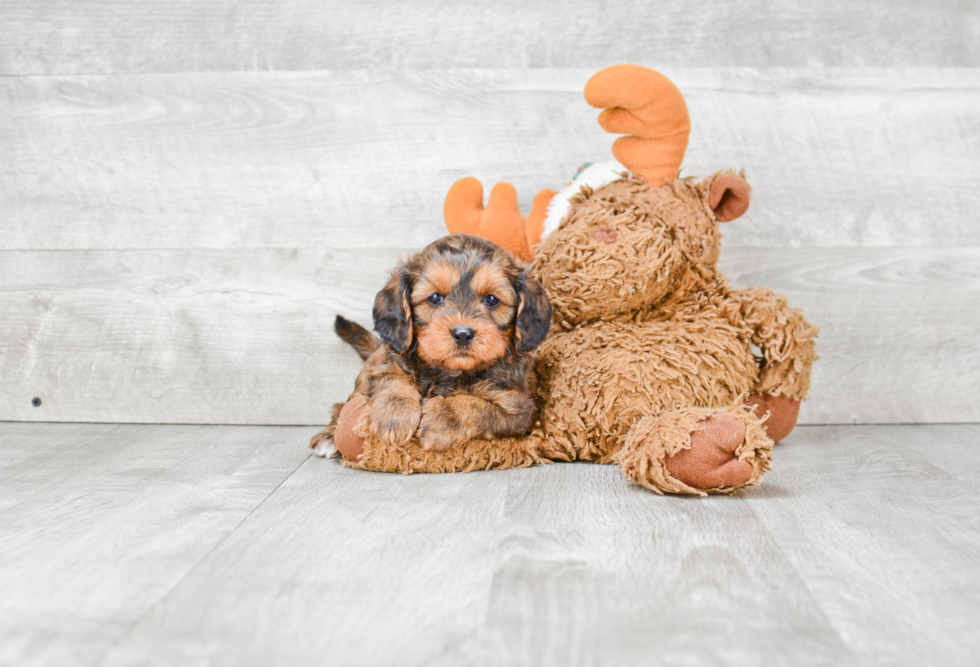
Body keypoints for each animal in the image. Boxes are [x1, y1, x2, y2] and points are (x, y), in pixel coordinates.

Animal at [312, 232, 552, 452]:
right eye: (435, 298)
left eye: (491, 299)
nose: (462, 333)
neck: (450, 372)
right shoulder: (384, 361)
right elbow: (392, 378)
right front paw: (393, 416)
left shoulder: (518, 407)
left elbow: (479, 407)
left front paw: (442, 420)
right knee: (344, 404)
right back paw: (328, 435)